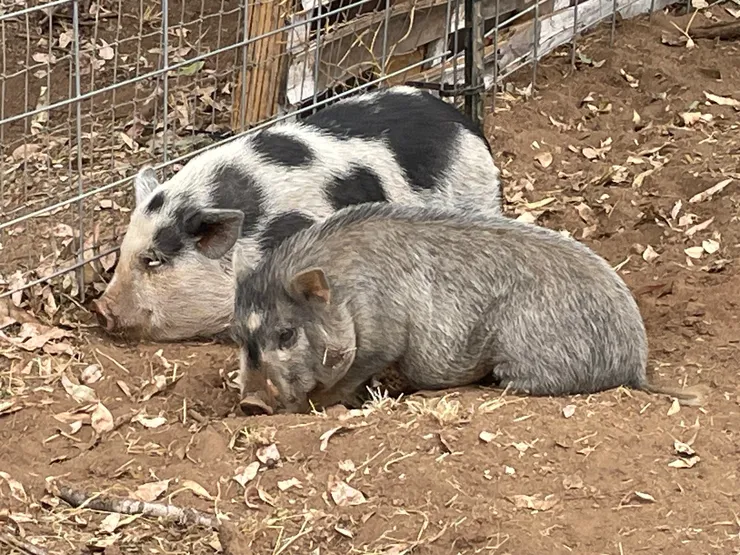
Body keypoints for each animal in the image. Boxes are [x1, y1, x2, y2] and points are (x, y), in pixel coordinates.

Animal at [232, 202, 707, 415]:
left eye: (287, 334)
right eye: (240, 338)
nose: (250, 402)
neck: (348, 290)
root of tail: (635, 365)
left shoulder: (384, 335)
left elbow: (348, 378)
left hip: (525, 347)